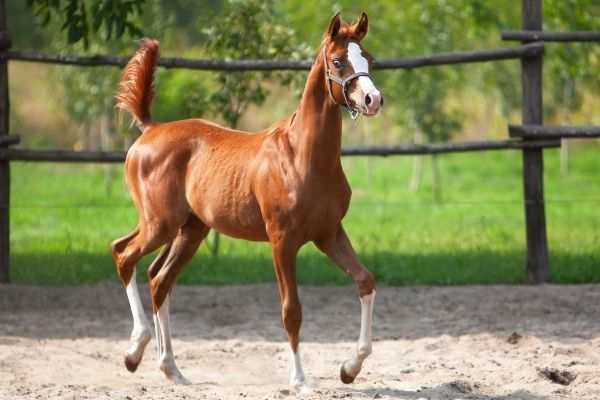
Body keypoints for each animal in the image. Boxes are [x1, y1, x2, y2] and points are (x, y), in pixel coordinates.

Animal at [112, 11, 382, 390]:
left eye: (368, 59)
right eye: (338, 61)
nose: (373, 100)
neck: (304, 156)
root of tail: (151, 128)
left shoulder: (329, 234)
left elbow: (365, 281)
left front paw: (349, 369)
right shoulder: (282, 240)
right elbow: (291, 310)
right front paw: (299, 380)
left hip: (190, 230)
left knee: (159, 278)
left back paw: (171, 369)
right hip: (159, 224)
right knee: (123, 254)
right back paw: (135, 350)